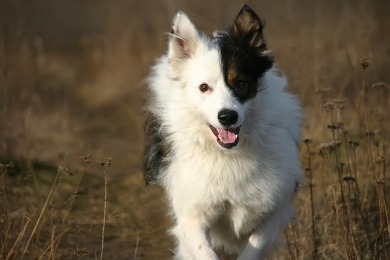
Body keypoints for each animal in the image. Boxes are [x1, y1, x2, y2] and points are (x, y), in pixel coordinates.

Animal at [142, 4, 304, 260]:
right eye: (204, 87)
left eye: (241, 84)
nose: (227, 117)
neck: (228, 154)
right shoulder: (192, 218)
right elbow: (205, 252)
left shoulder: (272, 211)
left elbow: (251, 250)